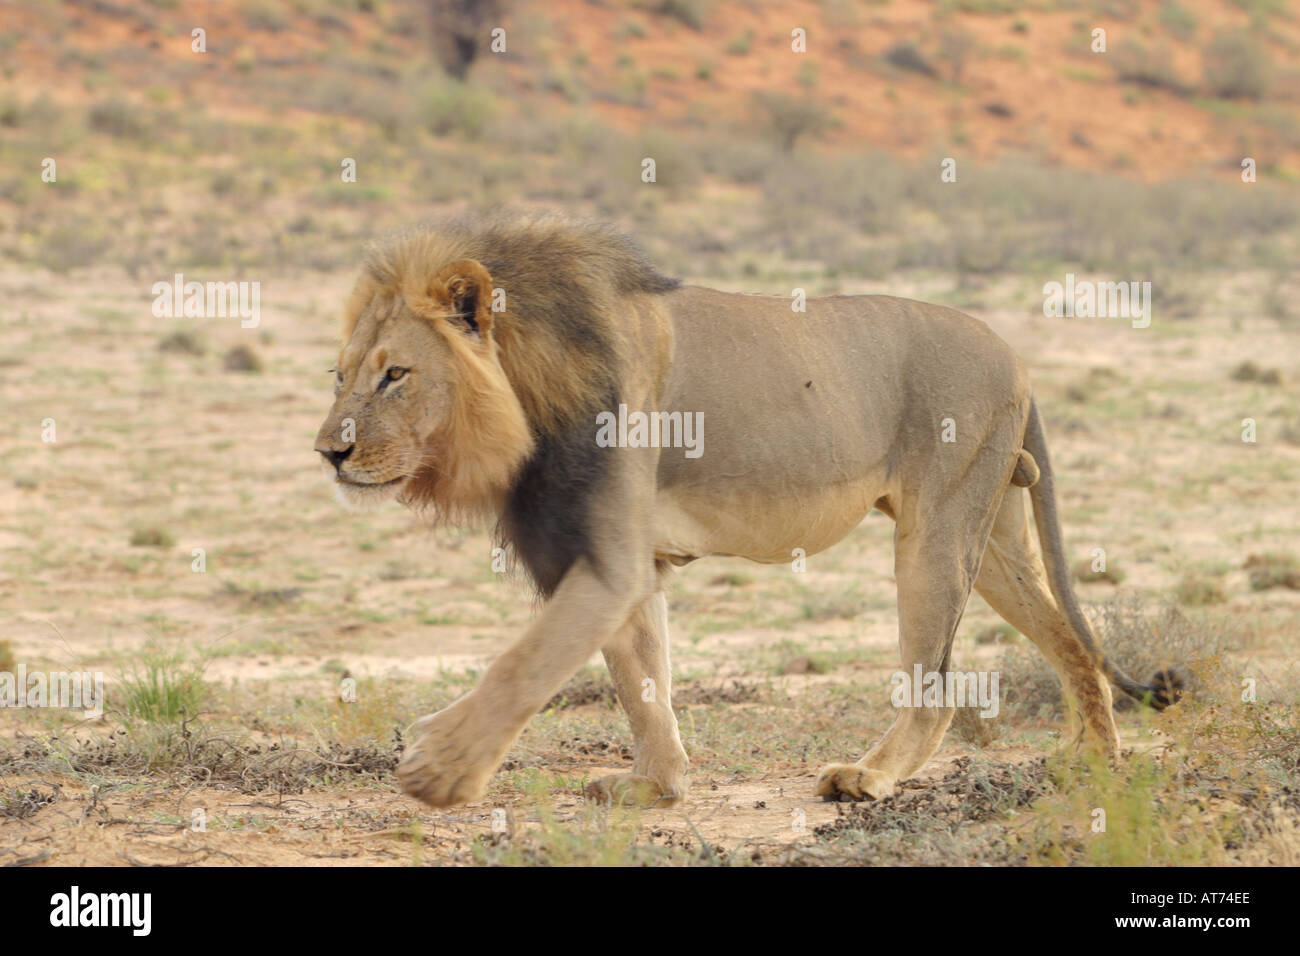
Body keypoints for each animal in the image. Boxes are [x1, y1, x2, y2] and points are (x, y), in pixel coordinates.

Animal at [313, 212, 1179, 809]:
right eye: (339, 375)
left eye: (396, 374)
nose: (328, 453)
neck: (530, 381)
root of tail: (1016, 354)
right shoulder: (626, 562)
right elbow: (642, 678)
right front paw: (657, 788)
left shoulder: (608, 558)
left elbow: (523, 664)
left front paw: (438, 768)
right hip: (993, 532)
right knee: (1072, 642)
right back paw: (1095, 763)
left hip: (936, 530)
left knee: (936, 678)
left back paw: (869, 776)